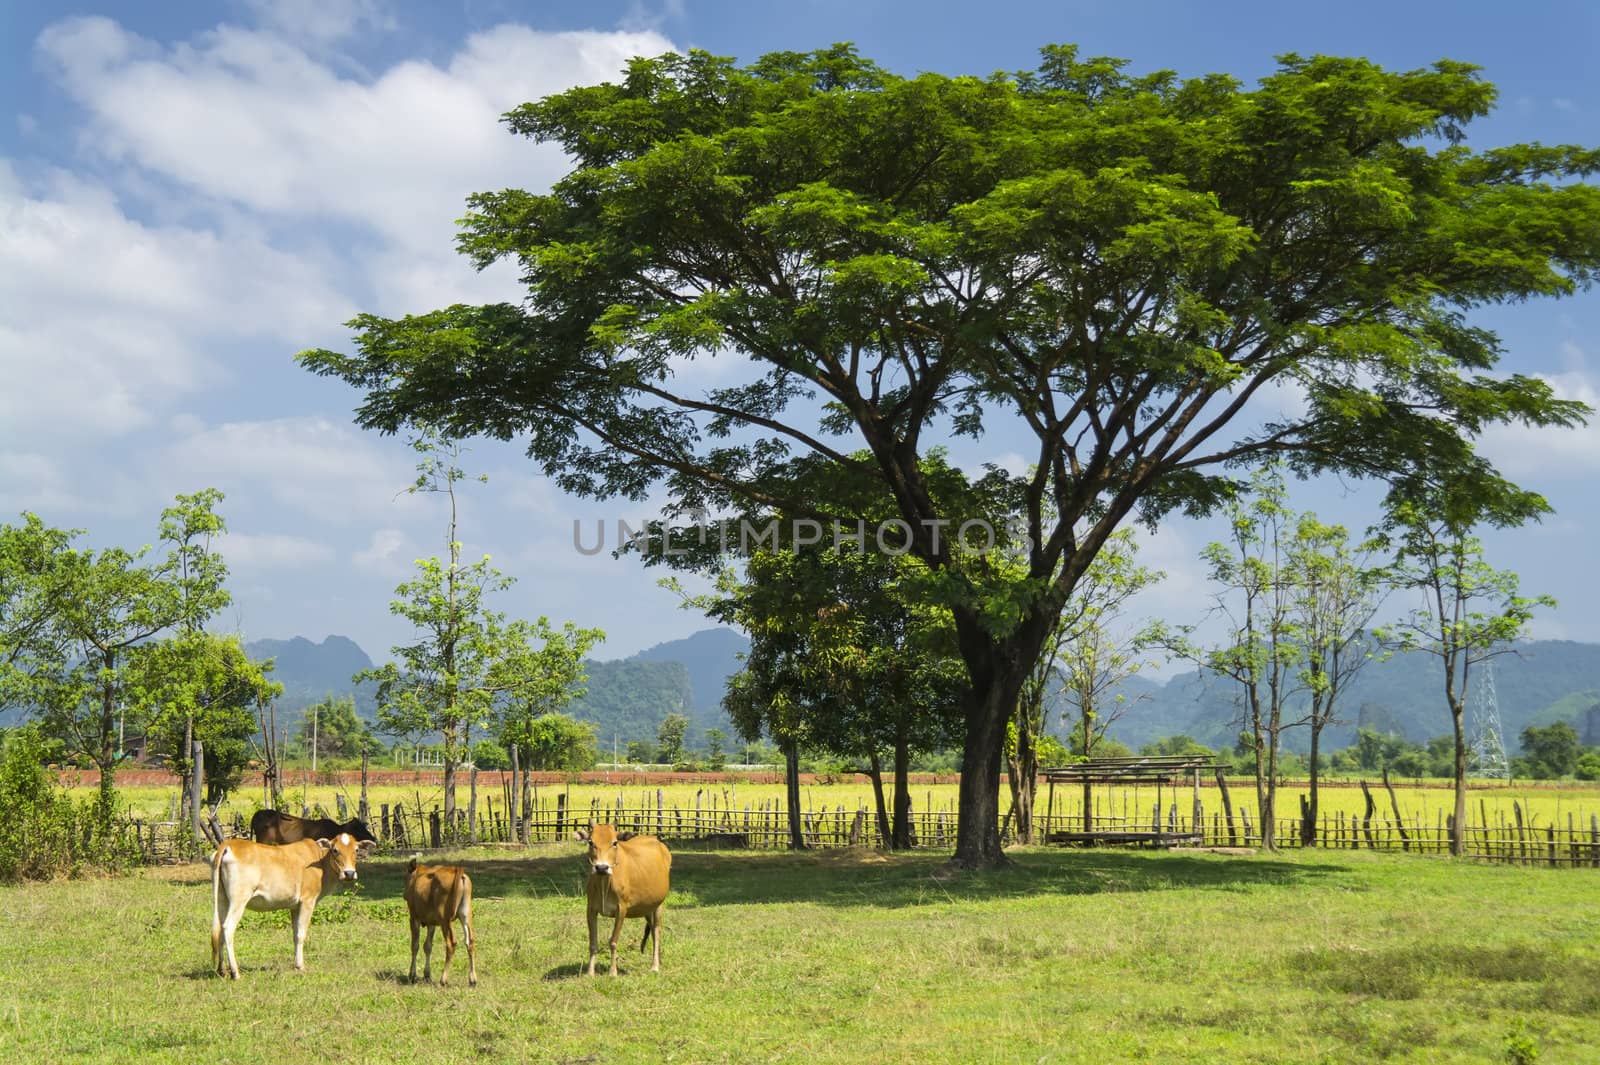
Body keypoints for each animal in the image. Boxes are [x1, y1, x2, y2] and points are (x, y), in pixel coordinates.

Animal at [209, 831, 374, 978]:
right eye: (335, 850)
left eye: (356, 850)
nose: (349, 873)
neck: (320, 862)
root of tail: (229, 844)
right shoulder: (307, 901)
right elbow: (301, 934)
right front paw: (300, 966)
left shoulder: (294, 906)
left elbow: (295, 935)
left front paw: (296, 964)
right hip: (239, 899)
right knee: (228, 928)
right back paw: (235, 972)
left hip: (222, 899)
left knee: (219, 930)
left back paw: (222, 970)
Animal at [403, 857, 476, 985]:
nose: (404, 894)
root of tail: (457, 871)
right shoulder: (431, 922)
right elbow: (428, 946)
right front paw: (427, 975)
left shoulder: (414, 918)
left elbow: (415, 945)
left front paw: (412, 975)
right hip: (466, 915)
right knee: (470, 941)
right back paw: (472, 979)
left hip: (445, 920)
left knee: (451, 943)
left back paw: (443, 979)